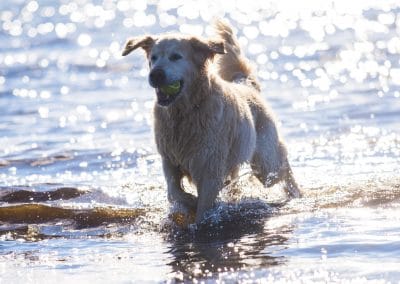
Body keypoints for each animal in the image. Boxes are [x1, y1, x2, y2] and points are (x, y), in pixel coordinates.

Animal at [122, 20, 300, 224]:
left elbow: (203, 207)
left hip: (265, 164)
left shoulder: (210, 169)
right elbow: (174, 192)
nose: (155, 74)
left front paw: (199, 219)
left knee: (283, 166)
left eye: (176, 57)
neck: (185, 113)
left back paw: (297, 194)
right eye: (153, 57)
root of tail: (246, 84)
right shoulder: (170, 160)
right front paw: (189, 201)